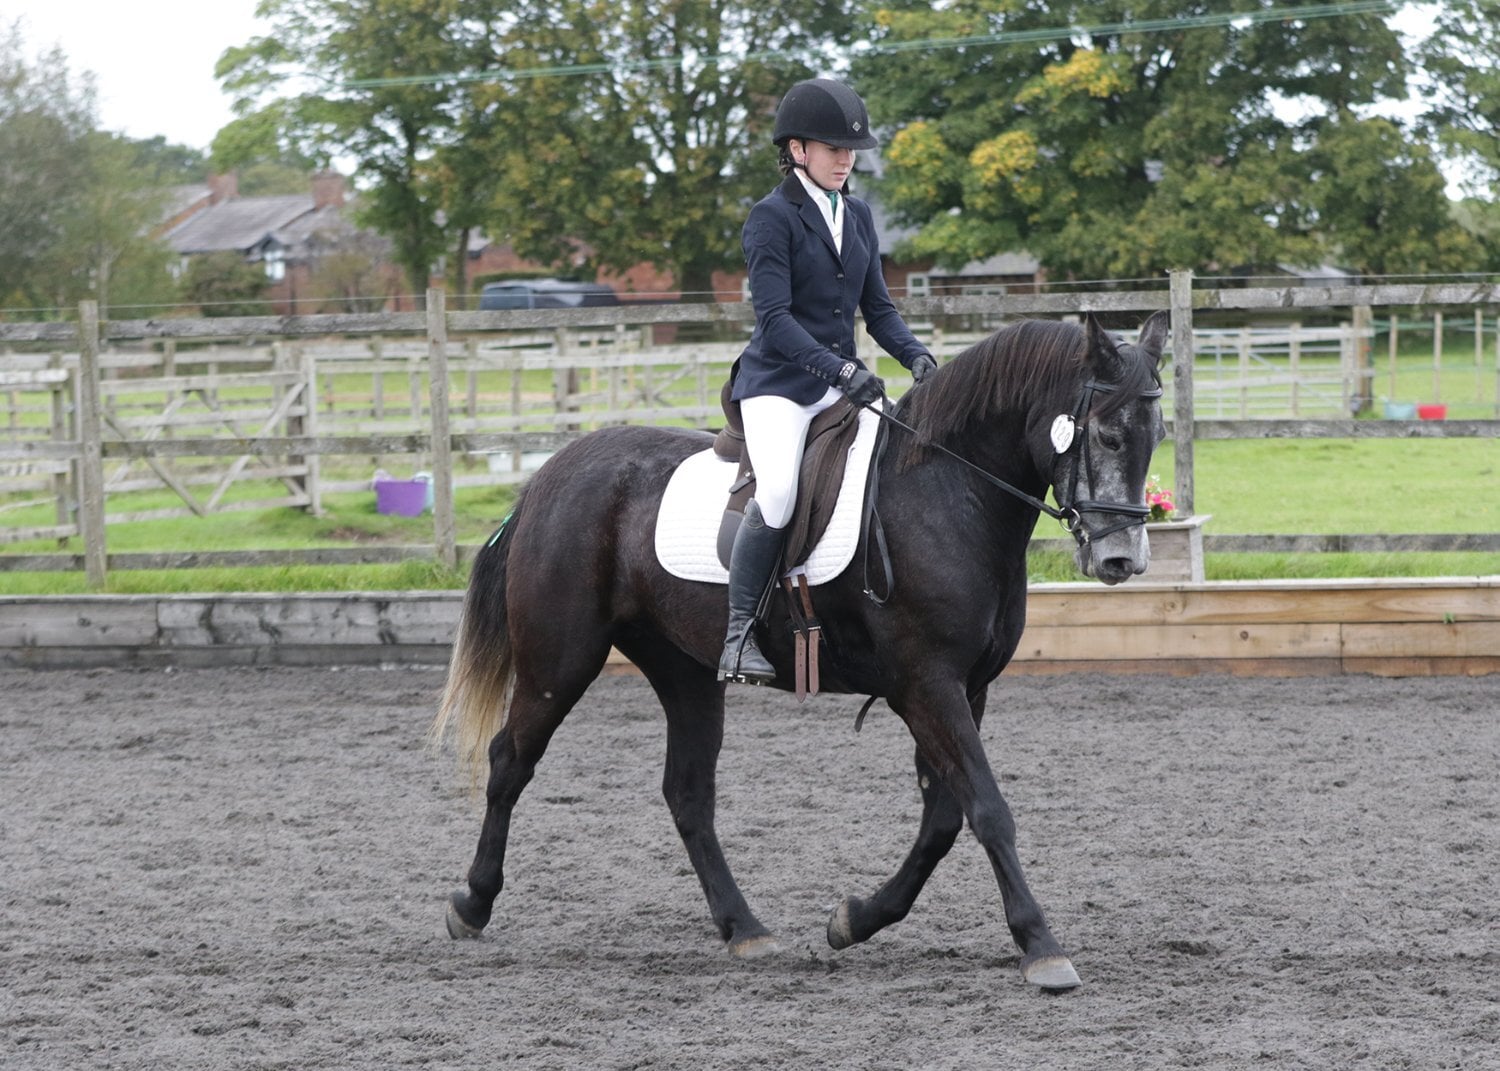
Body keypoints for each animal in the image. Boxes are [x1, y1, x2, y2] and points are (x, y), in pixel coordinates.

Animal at [433, 311, 1169, 991]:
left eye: (1154, 437)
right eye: (1107, 435)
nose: (1121, 560)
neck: (946, 491)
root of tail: (551, 473)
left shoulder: (966, 687)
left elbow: (942, 820)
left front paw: (855, 918)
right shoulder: (927, 686)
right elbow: (988, 809)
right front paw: (1041, 944)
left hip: (685, 670)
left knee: (687, 793)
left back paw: (745, 929)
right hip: (560, 661)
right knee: (510, 762)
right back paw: (471, 904)